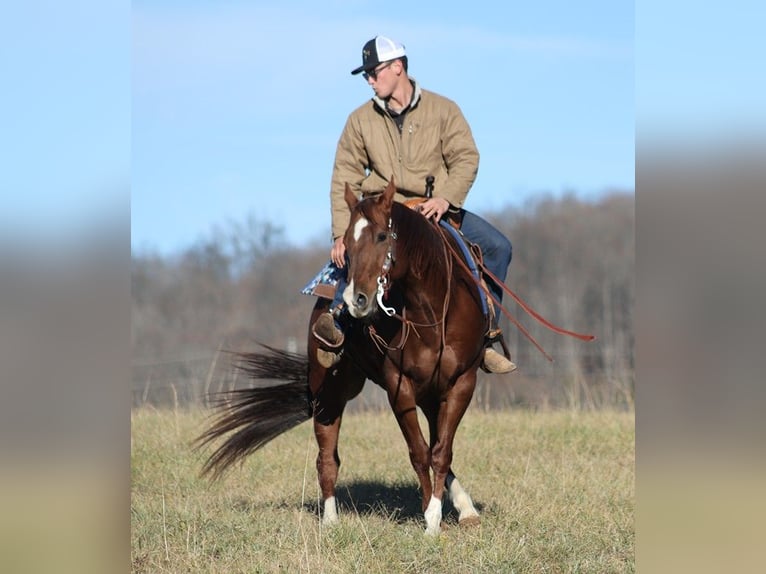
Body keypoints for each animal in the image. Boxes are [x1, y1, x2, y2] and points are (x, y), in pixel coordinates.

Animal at [198, 179, 492, 536]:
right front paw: (431, 518)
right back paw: (330, 519)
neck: (432, 313)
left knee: (438, 446)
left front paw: (439, 514)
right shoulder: (400, 387)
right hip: (331, 390)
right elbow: (420, 453)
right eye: (348, 241)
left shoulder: (461, 383)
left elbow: (441, 452)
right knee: (327, 456)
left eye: (382, 236)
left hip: (430, 395)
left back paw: (465, 508)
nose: (356, 300)